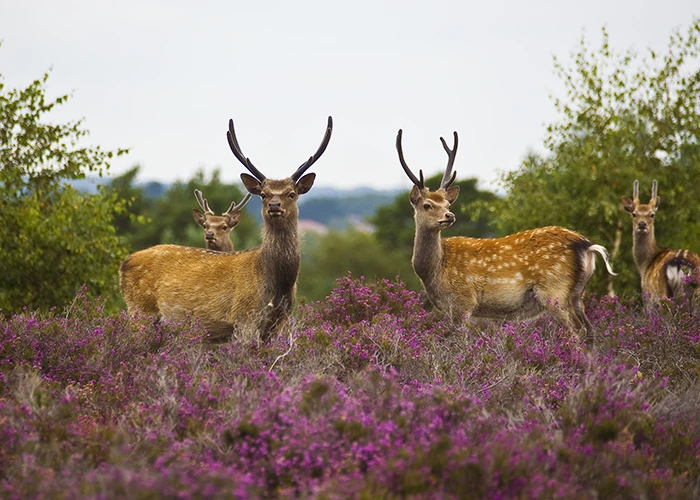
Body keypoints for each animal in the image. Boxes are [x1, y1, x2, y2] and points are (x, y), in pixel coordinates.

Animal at [119, 116, 333, 342]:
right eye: (263, 194)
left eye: (292, 193)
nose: (274, 205)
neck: (277, 285)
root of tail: (124, 263)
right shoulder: (245, 318)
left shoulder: (279, 324)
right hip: (140, 312)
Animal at [396, 128, 616, 343]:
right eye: (427, 205)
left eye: (447, 204)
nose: (450, 216)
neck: (433, 272)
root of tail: (587, 245)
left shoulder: (462, 302)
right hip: (578, 294)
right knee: (590, 331)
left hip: (554, 290)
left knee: (577, 332)